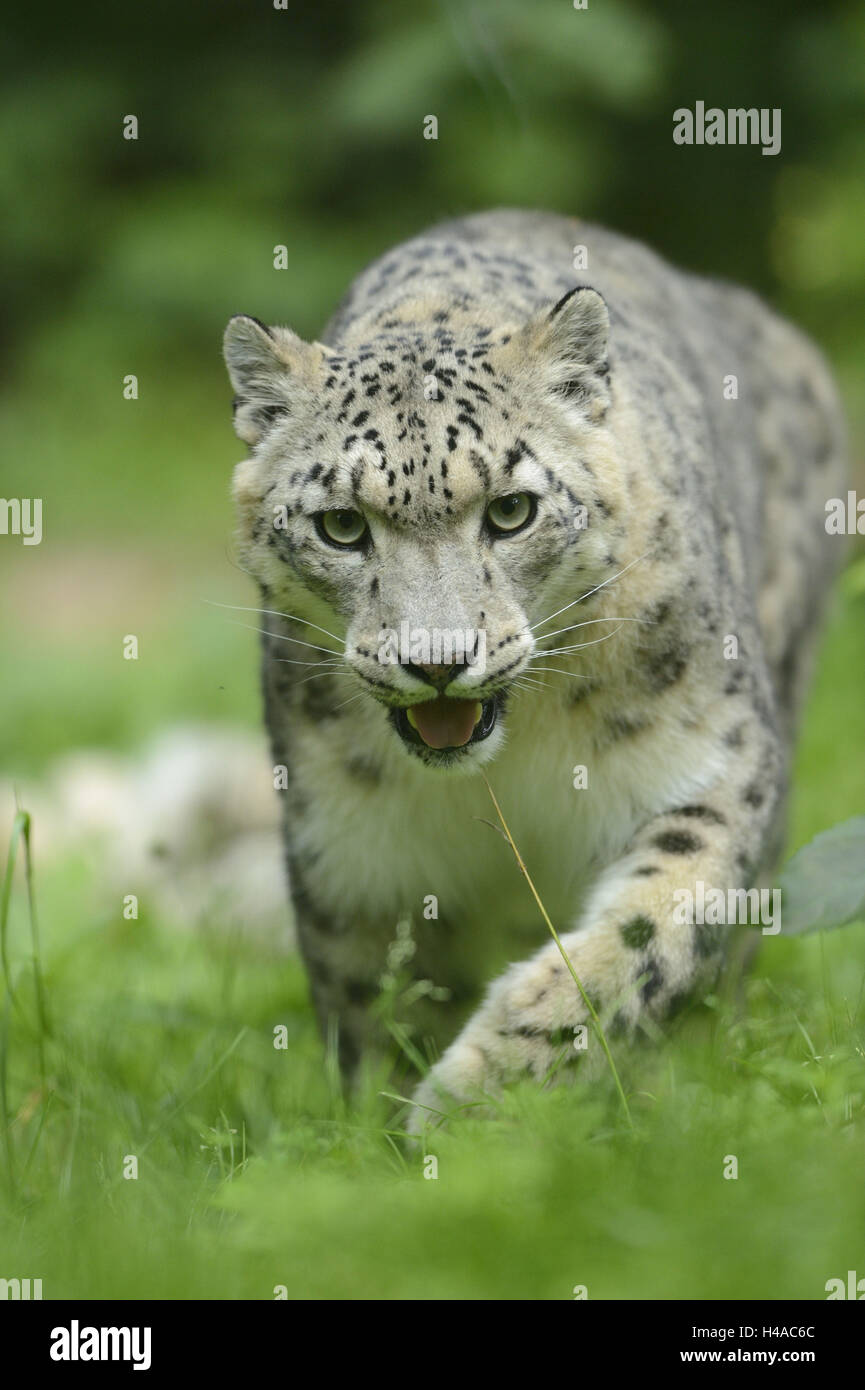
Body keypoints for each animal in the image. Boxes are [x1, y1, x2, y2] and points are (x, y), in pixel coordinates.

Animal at [222, 208, 846, 1135]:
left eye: (511, 510)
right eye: (340, 525)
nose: (437, 662)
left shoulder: (710, 766)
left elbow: (646, 935)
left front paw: (479, 1095)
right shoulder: (350, 843)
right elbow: (373, 1001)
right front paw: (382, 1131)